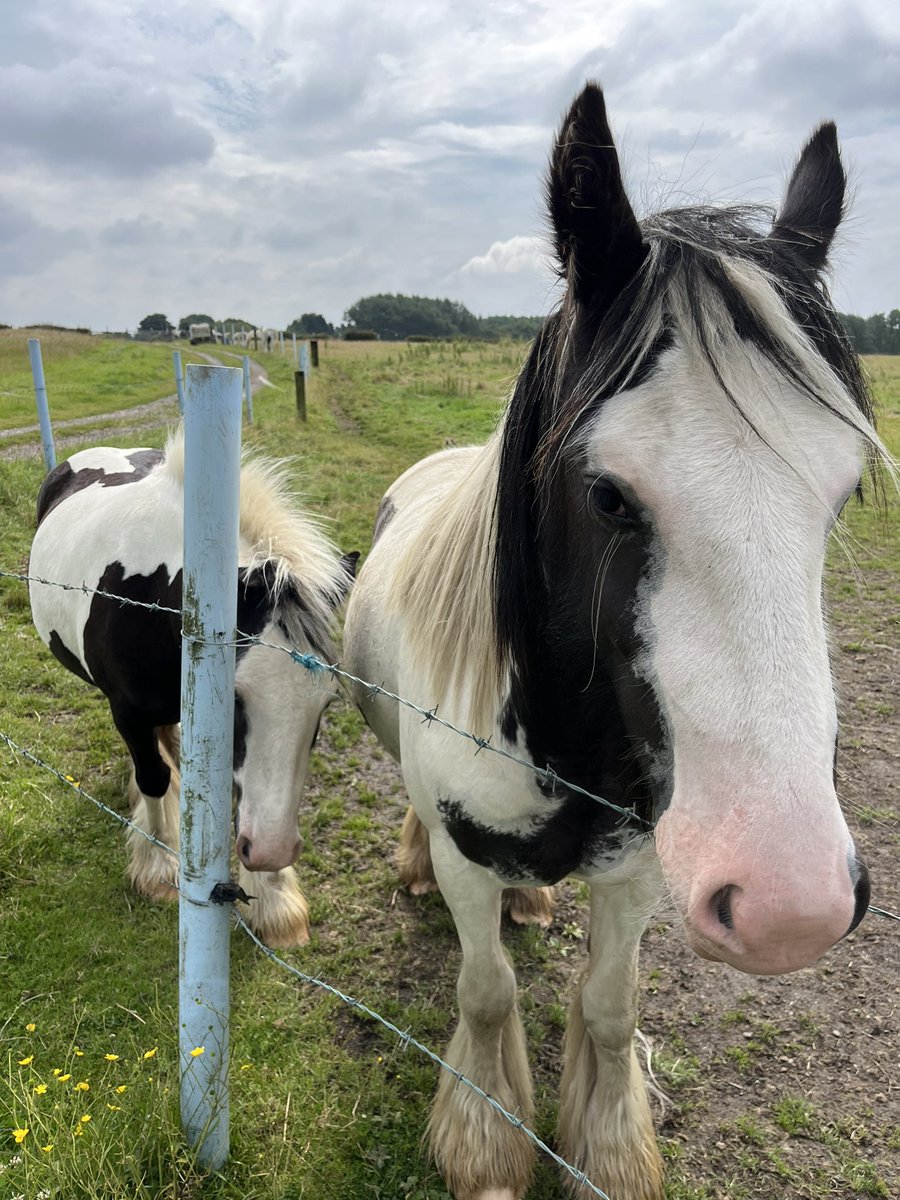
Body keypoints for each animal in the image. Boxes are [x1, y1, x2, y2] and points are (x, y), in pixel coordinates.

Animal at [29, 430, 356, 949]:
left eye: (325, 702)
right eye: (235, 696)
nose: (273, 849)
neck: (159, 593)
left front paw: (274, 900)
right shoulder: (129, 712)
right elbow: (154, 778)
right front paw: (160, 867)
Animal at [342, 82, 893, 1200]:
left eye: (844, 490)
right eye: (606, 493)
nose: (794, 905)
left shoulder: (642, 869)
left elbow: (608, 1007)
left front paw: (607, 1145)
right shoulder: (469, 857)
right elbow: (486, 993)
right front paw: (487, 1145)